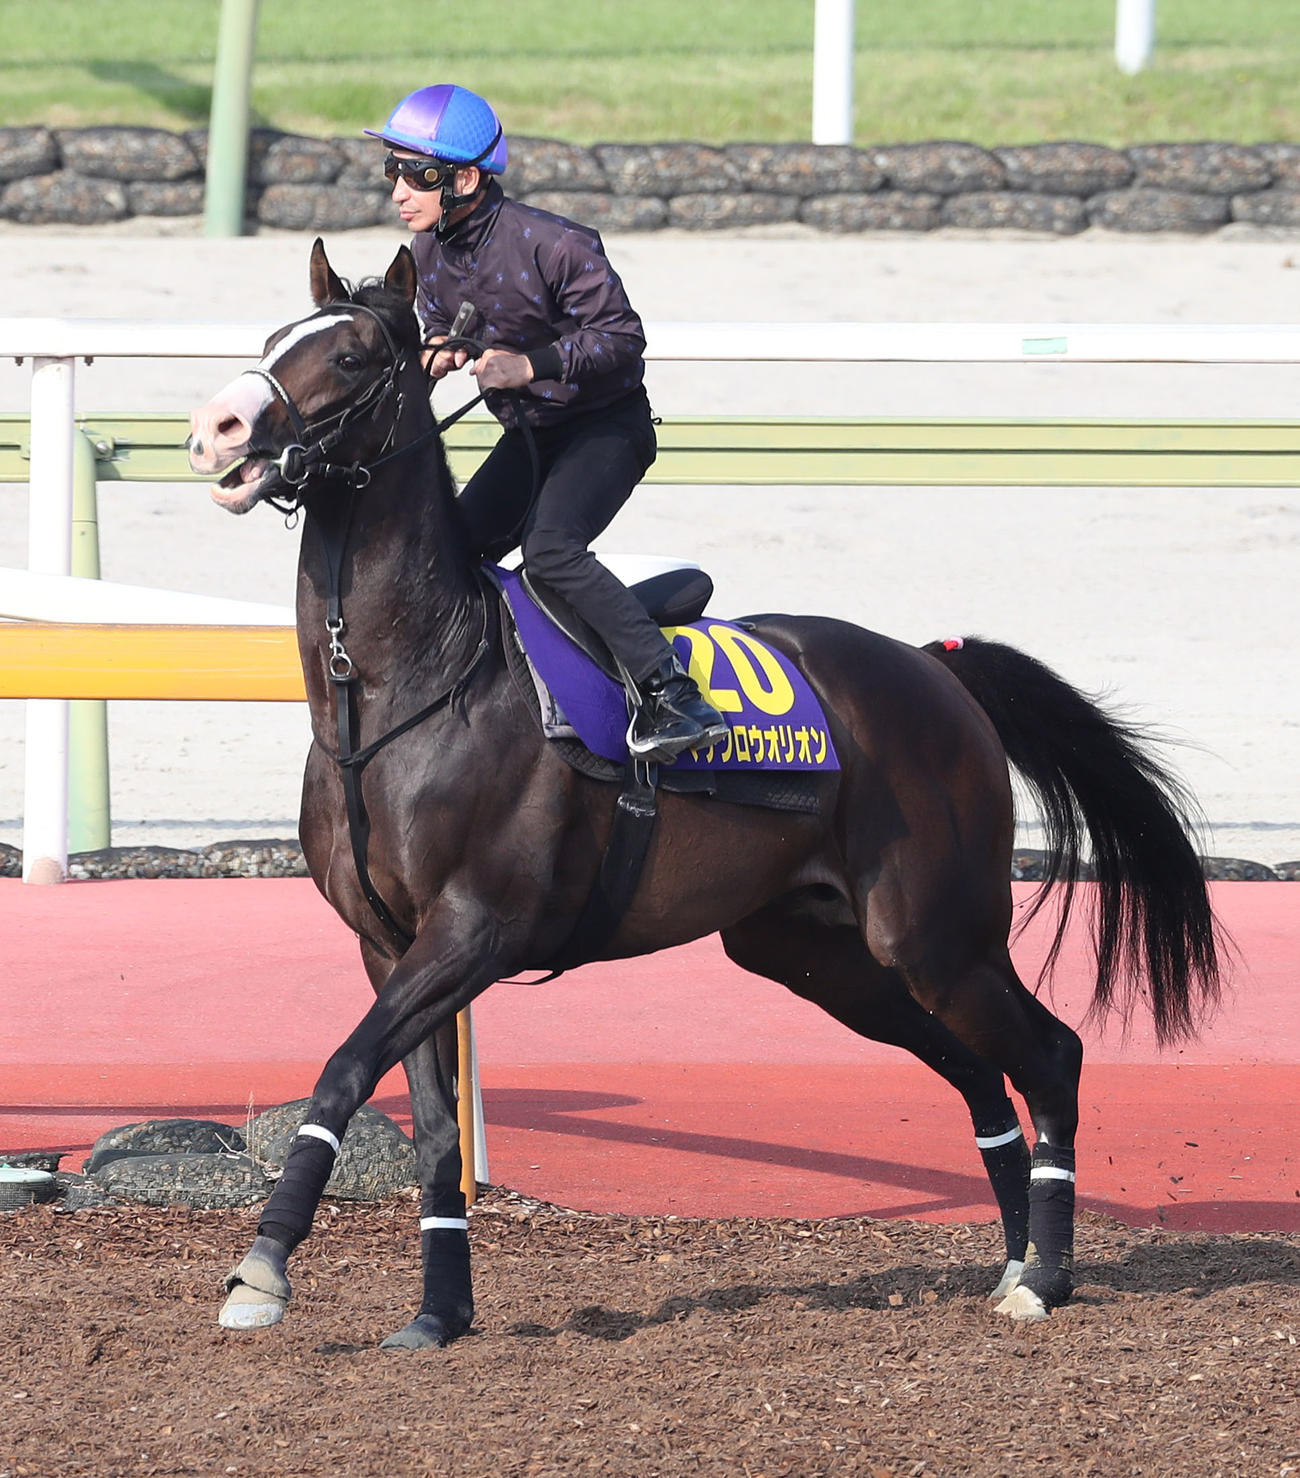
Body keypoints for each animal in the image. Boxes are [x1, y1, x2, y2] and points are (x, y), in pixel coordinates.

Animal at [187, 239, 1222, 1349]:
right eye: (269, 341)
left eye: (348, 355)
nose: (217, 427)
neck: (407, 682)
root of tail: (934, 666)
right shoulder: (388, 941)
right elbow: (427, 1128)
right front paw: (439, 1310)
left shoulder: (476, 930)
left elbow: (341, 1068)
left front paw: (262, 1269)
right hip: (820, 952)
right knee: (978, 1066)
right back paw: (1015, 1255)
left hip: (935, 933)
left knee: (1051, 1054)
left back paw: (1048, 1275)